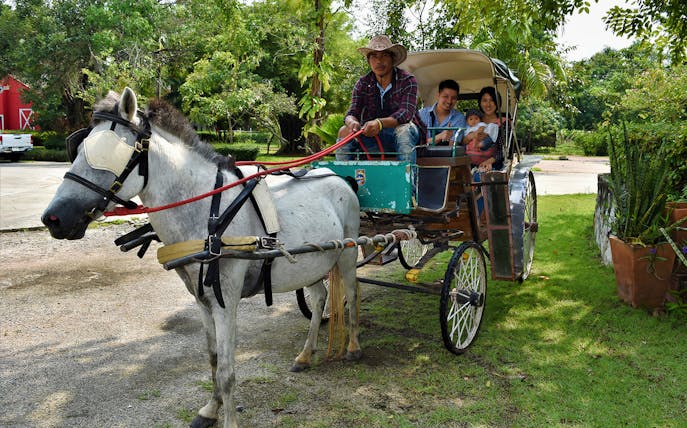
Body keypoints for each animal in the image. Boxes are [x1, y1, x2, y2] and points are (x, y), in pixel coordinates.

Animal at [41, 87, 362, 428]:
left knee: (352, 292)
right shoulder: (201, 301)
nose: (53, 218)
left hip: (347, 252)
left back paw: (354, 346)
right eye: (77, 150)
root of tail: (341, 179)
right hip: (312, 263)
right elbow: (212, 359)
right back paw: (305, 354)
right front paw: (210, 409)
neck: (209, 212)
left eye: (109, 153)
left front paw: (228, 419)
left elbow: (227, 371)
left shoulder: (225, 302)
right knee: (320, 297)